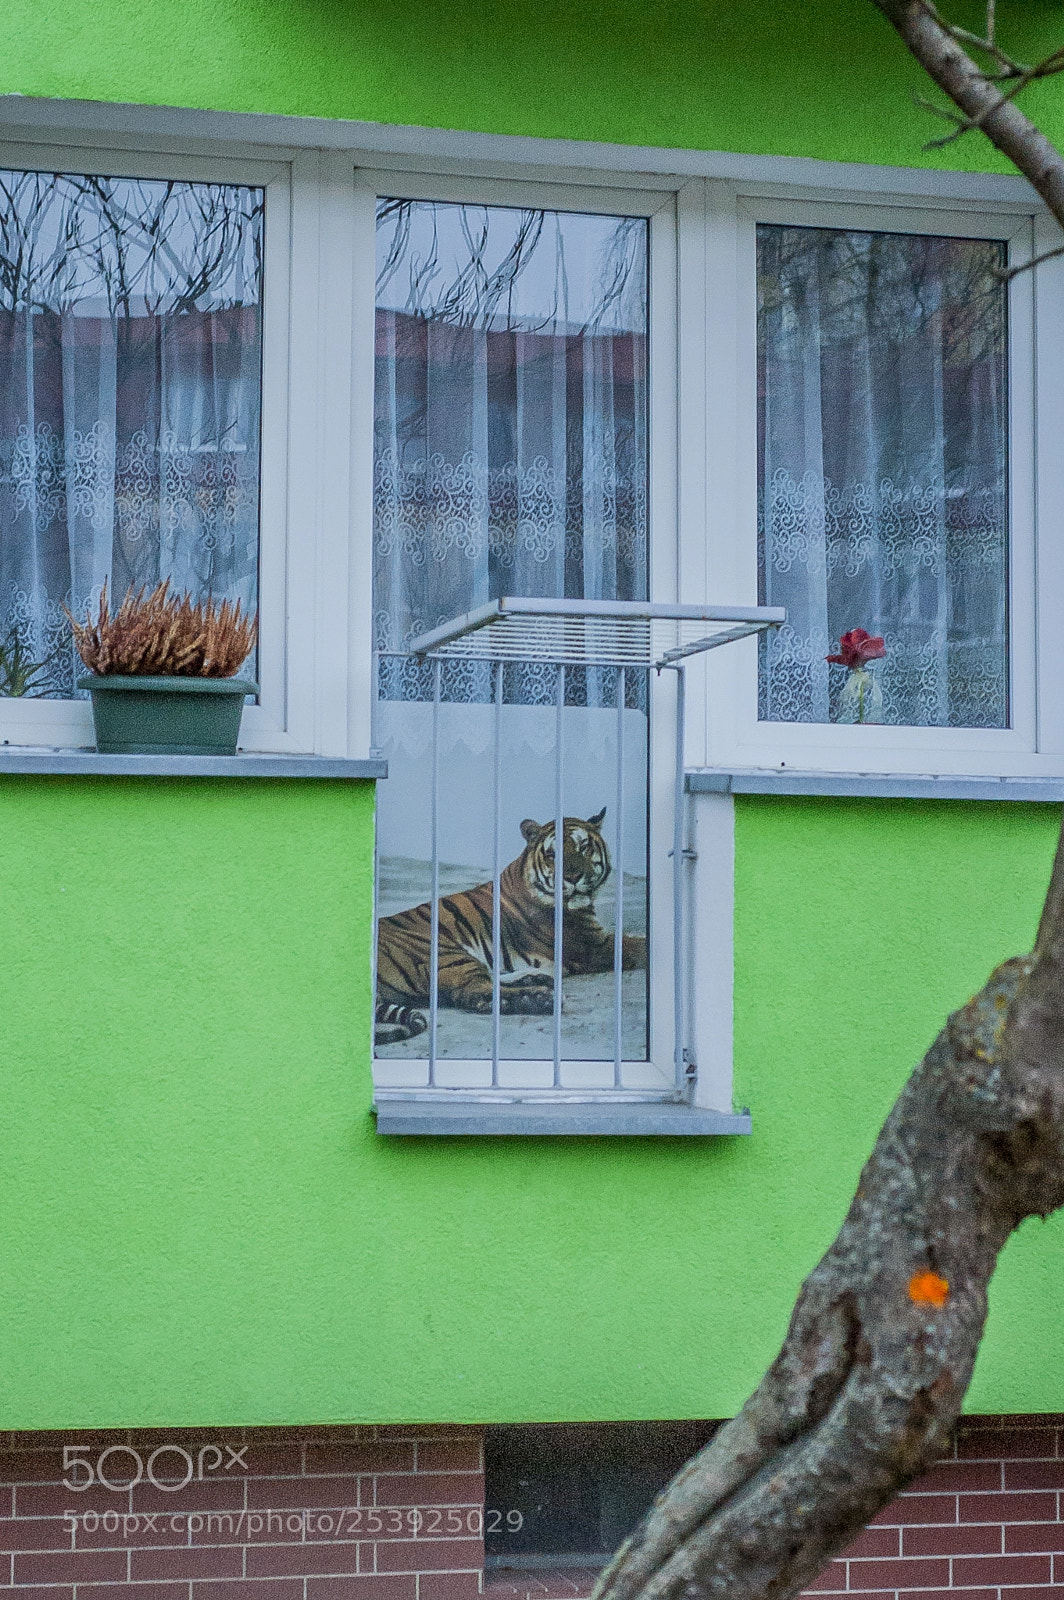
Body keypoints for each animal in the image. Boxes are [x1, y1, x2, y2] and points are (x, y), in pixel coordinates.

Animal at [374, 806, 646, 1044]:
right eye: (552, 854)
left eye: (584, 847)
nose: (571, 877)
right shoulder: (595, 945)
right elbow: (642, 946)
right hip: (443, 952)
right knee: (473, 992)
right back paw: (540, 999)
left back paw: (536, 979)